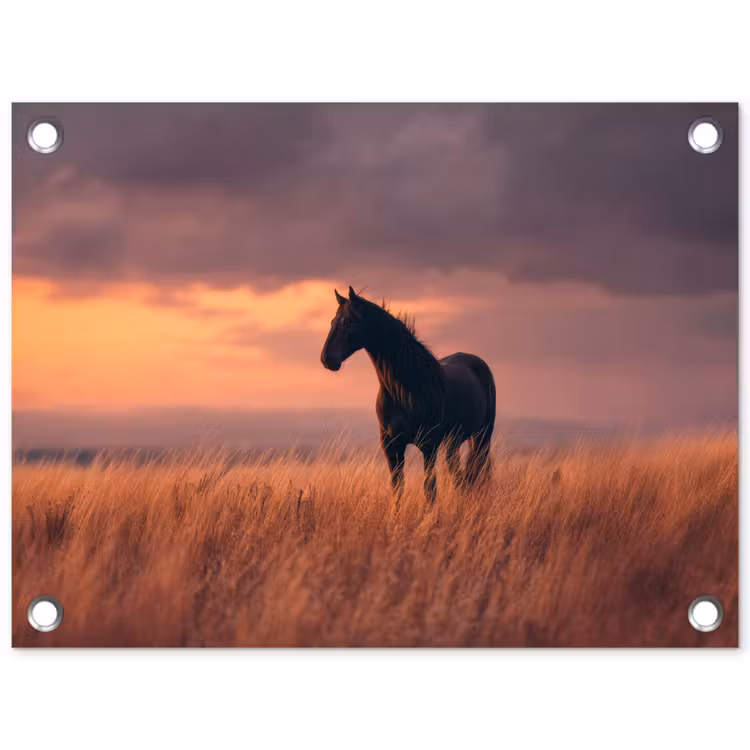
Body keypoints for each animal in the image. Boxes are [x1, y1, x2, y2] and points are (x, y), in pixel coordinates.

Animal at [320, 286, 496, 505]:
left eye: (348, 322)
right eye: (332, 321)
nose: (326, 359)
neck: (407, 390)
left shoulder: (429, 446)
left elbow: (430, 489)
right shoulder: (391, 447)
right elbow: (398, 489)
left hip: (482, 437)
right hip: (453, 442)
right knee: (460, 477)